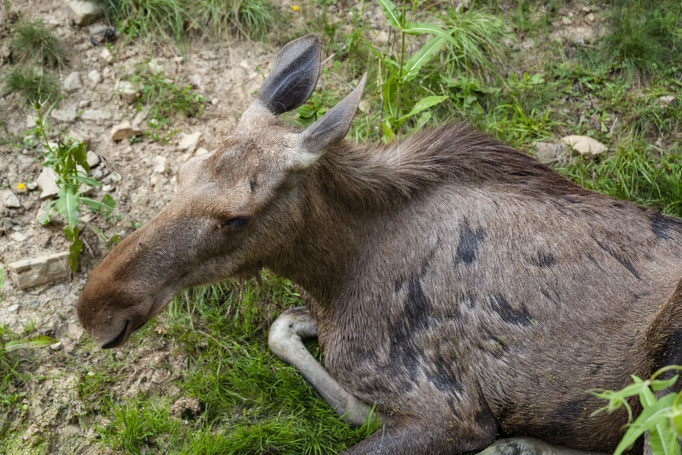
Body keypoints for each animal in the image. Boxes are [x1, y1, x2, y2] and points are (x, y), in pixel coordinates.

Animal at [77, 36, 680, 455]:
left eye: (237, 219)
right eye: (180, 173)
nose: (96, 310)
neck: (334, 272)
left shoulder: (450, 413)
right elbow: (280, 328)